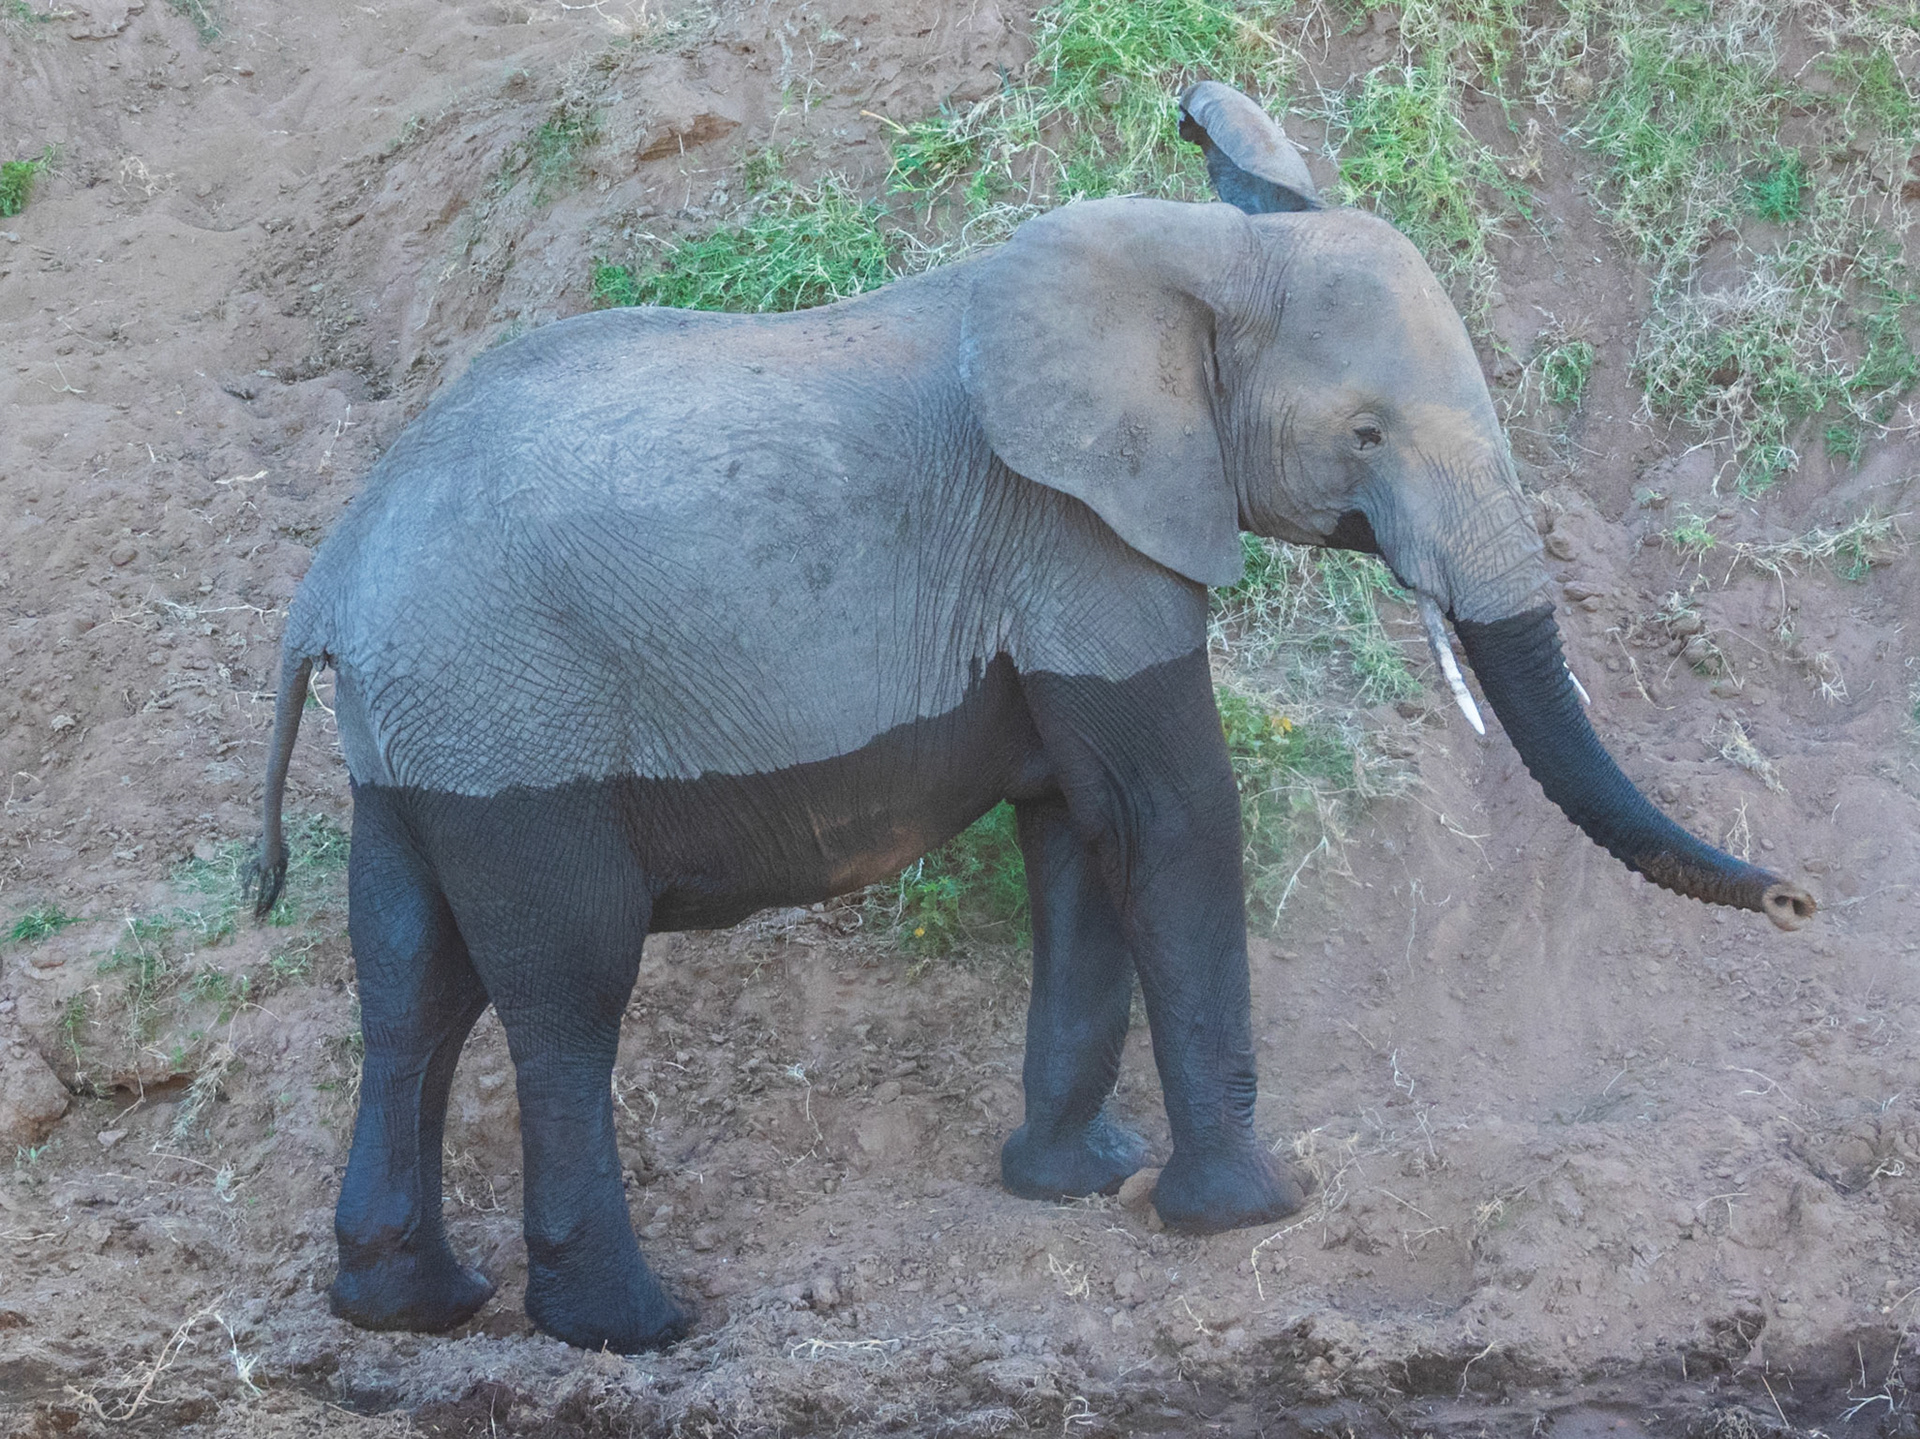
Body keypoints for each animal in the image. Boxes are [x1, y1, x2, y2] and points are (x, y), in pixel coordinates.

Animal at [247, 80, 1815, 1354]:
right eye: (1365, 435)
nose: (1802, 900)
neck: (1195, 262)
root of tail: (332, 575)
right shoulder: (1078, 542)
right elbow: (1174, 816)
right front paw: (1250, 1209)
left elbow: (1078, 831)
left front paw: (1079, 1180)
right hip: (514, 712)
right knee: (566, 989)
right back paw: (630, 1326)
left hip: (433, 734)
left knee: (411, 974)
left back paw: (409, 1306)